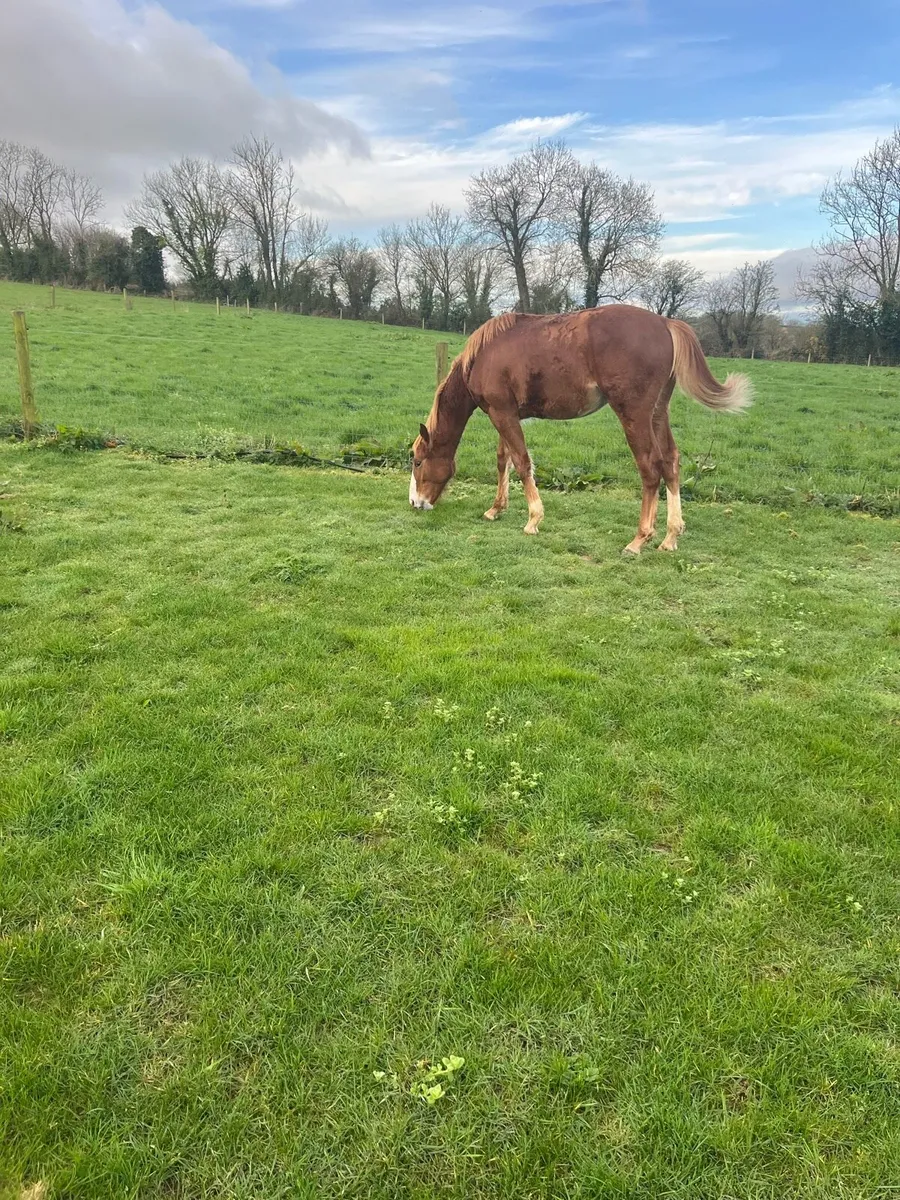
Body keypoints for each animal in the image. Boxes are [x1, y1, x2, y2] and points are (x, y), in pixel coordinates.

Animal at [409, 305, 752, 554]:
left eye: (417, 461)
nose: (416, 503)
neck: (483, 355)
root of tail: (665, 323)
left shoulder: (502, 414)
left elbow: (521, 462)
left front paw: (533, 519)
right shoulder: (505, 415)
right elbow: (503, 460)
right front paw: (496, 509)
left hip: (634, 416)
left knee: (650, 467)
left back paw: (640, 538)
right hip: (657, 414)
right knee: (670, 462)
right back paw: (670, 536)